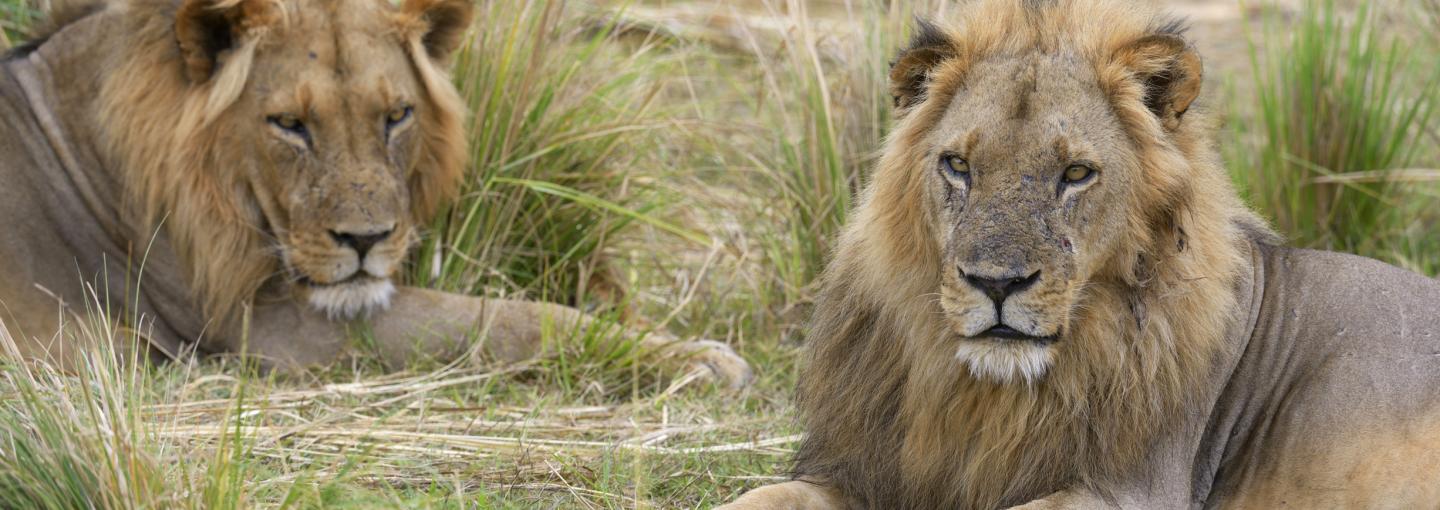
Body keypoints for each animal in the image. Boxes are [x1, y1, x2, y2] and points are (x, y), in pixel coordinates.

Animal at [0, 0, 750, 388]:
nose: (365, 242)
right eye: (289, 124)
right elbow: (506, 320)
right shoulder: (263, 327)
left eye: (397, 115)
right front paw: (696, 357)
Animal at [722, 1, 1440, 508]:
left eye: (1075, 174)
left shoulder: (1136, 491)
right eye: (958, 166)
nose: (997, 284)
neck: (988, 395)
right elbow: (761, 495)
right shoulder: (865, 469)